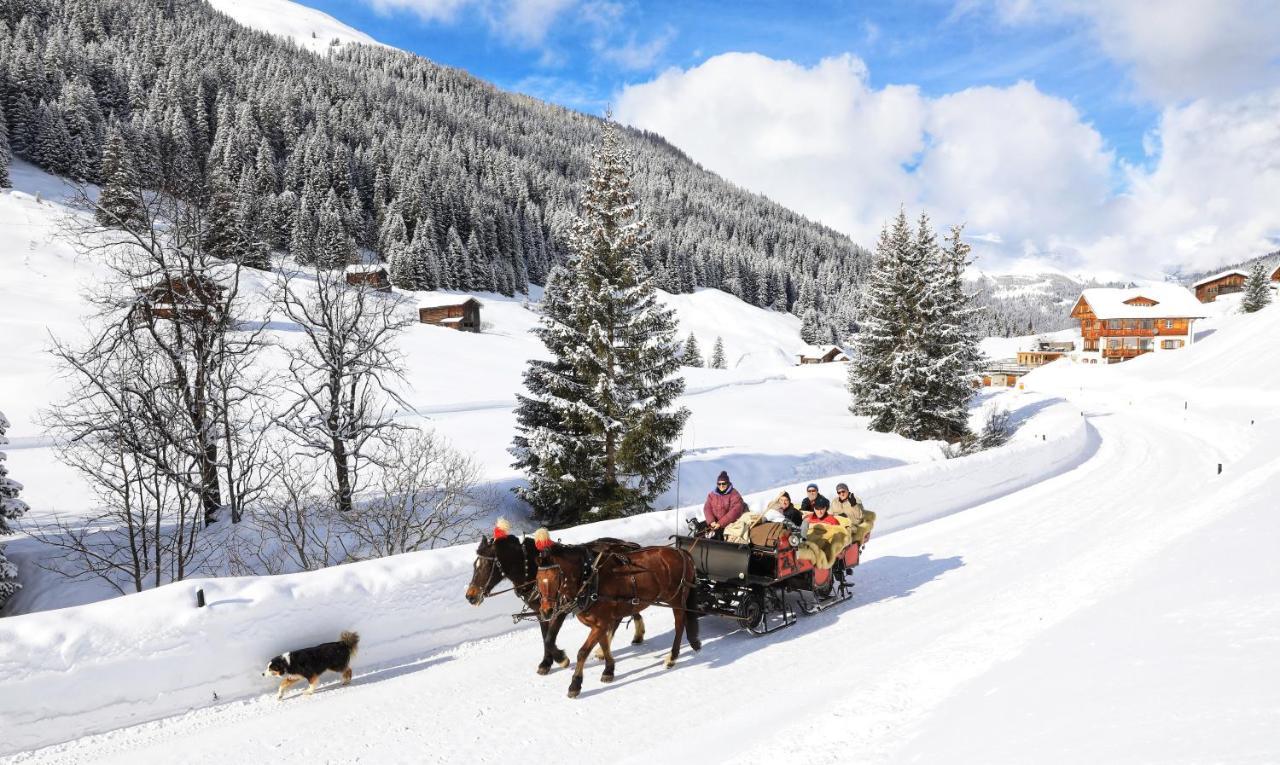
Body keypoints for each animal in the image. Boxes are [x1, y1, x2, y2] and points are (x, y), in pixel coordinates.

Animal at [465, 534, 645, 675]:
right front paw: (546, 662)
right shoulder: (542, 611)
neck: (533, 570)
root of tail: (628, 545)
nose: (470, 596)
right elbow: (545, 636)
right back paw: (634, 636)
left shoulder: (560, 609)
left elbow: (550, 638)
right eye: (475, 565)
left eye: (487, 565)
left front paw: (561, 659)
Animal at [535, 539, 706, 701]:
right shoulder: (600, 624)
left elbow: (582, 652)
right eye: (537, 578)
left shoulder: (600, 624)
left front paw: (575, 685)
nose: (546, 611)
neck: (589, 577)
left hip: (676, 599)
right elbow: (604, 644)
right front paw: (608, 670)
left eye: (556, 577)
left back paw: (672, 657)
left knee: (679, 625)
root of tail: (681, 552)